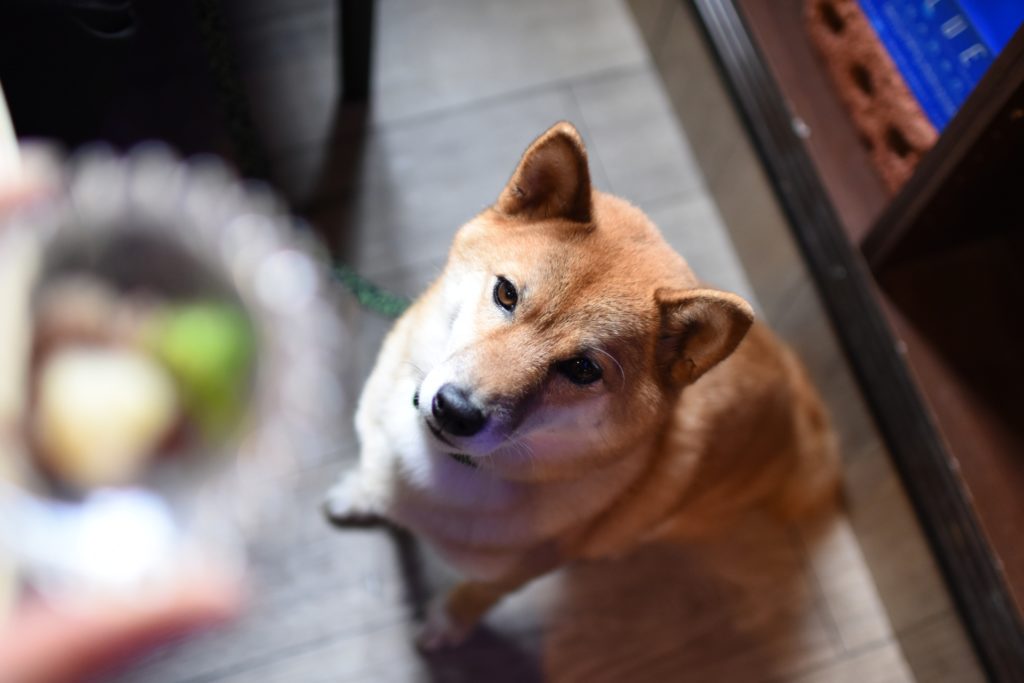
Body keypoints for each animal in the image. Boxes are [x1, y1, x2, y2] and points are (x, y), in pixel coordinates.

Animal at [327, 120, 839, 651]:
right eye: (506, 293)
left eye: (582, 369)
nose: (454, 409)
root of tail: (804, 410)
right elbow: (373, 482)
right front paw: (359, 495)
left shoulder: (516, 571)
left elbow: (472, 596)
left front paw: (445, 627)